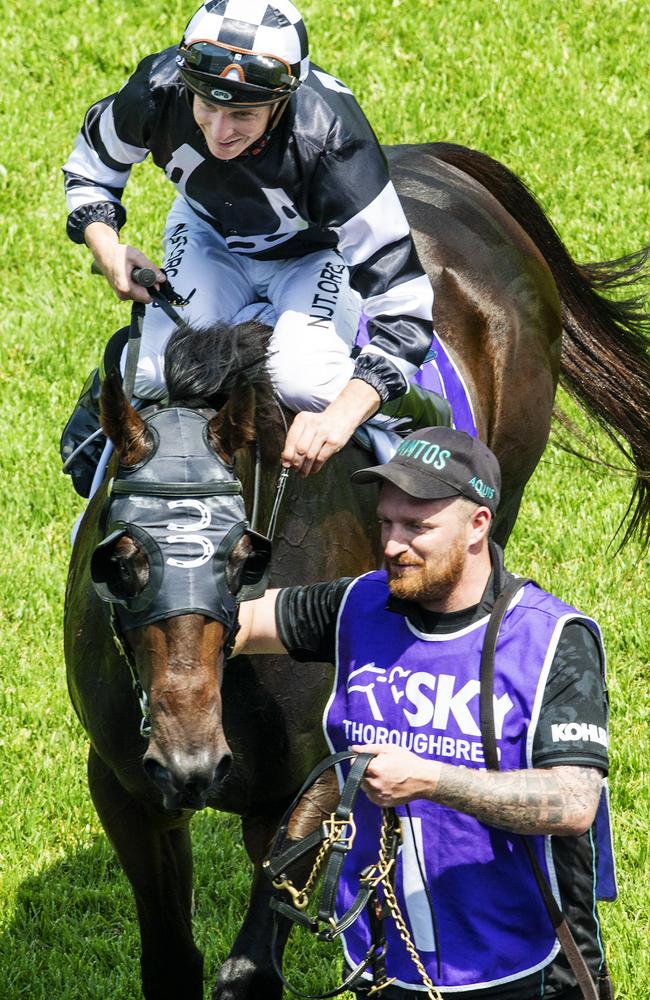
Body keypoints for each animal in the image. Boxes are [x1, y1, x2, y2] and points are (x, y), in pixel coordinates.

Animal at [63, 141, 644, 1000]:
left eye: (244, 560)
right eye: (120, 557)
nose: (191, 762)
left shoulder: (309, 785)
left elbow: (247, 967)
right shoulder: (127, 788)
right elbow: (171, 959)